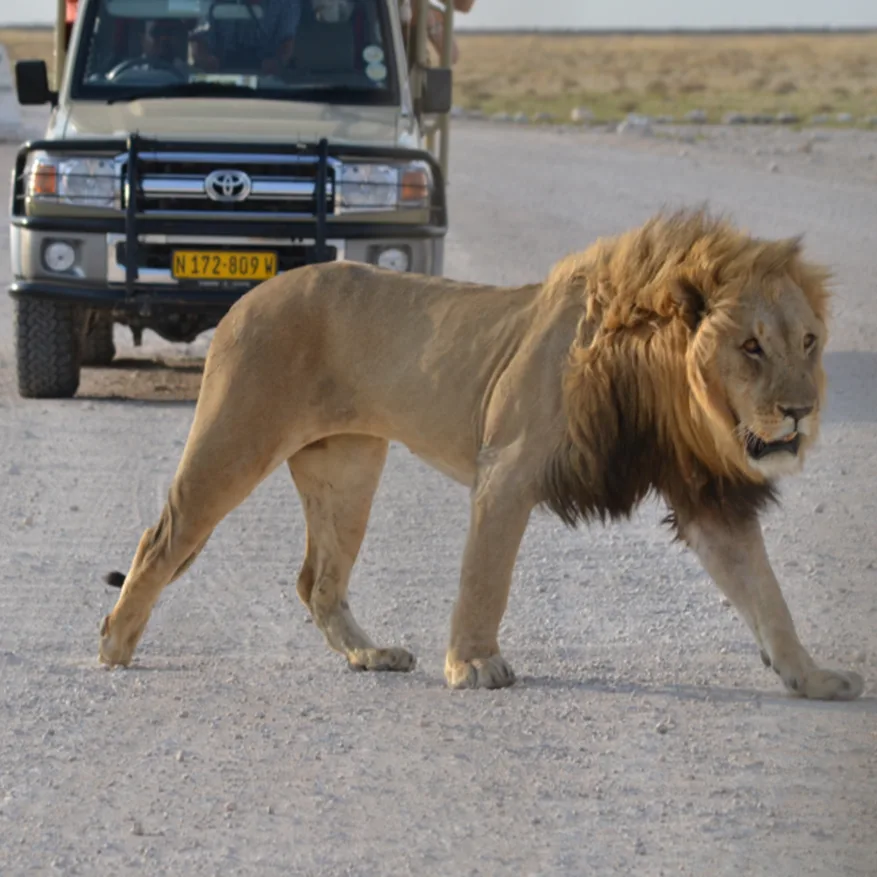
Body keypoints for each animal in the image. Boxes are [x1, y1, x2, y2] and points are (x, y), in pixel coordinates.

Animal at [98, 207, 864, 701]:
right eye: (750, 346)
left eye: (807, 343)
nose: (801, 412)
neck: (664, 388)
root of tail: (250, 292)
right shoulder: (508, 468)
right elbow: (484, 578)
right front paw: (472, 666)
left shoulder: (706, 497)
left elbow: (767, 596)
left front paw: (813, 677)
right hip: (235, 439)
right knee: (160, 539)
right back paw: (115, 644)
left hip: (348, 467)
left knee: (316, 579)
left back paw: (368, 655)